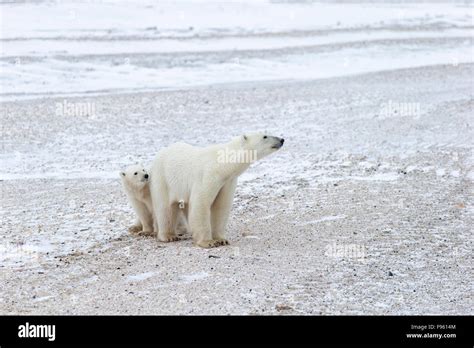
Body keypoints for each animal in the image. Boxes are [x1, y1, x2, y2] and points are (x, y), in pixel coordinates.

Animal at [151, 133, 286, 247]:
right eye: (265, 136)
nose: (282, 140)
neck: (222, 165)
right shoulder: (208, 176)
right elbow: (201, 204)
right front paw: (208, 242)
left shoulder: (227, 182)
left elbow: (221, 206)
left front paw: (221, 239)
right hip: (163, 179)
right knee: (165, 208)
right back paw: (169, 236)